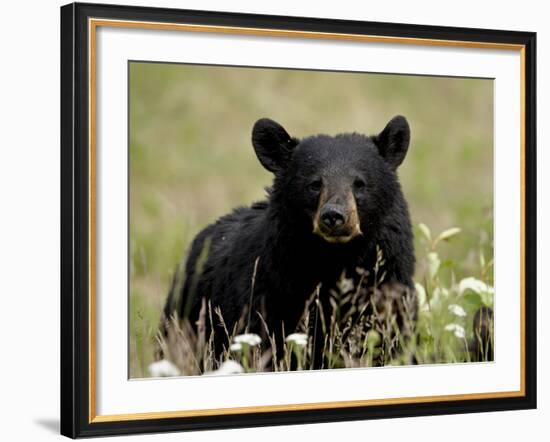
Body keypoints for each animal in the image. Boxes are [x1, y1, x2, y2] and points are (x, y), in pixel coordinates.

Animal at [162, 115, 416, 368]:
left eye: (360, 183)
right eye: (314, 184)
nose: (334, 216)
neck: (336, 260)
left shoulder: (390, 292)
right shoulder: (269, 298)